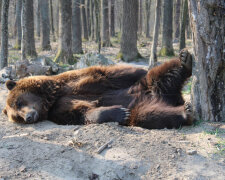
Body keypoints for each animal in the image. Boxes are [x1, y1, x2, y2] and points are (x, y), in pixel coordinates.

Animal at [2, 48, 192, 129]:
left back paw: (185, 60)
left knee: (163, 73)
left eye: (18, 103)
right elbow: (82, 112)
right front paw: (120, 112)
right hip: (142, 107)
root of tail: (172, 98)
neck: (51, 97)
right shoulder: (60, 110)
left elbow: (115, 74)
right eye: (16, 116)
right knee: (151, 116)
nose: (28, 117)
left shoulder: (80, 79)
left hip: (152, 85)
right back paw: (185, 111)